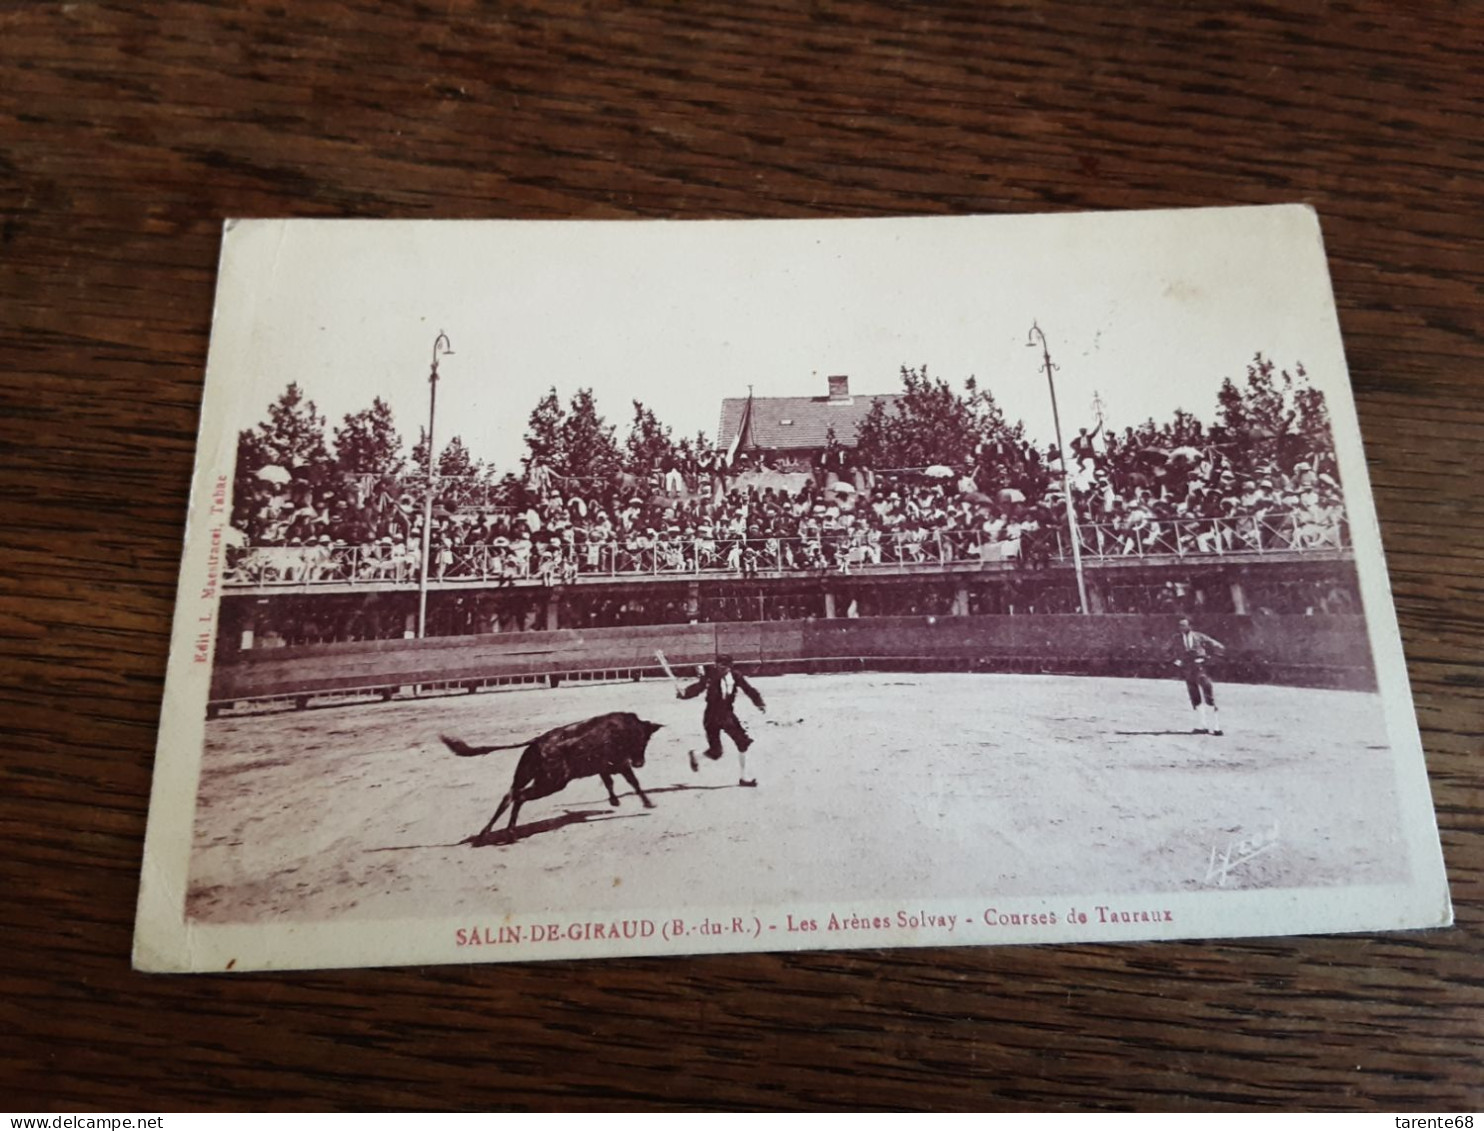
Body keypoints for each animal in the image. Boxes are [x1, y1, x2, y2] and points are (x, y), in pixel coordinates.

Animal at [436, 712, 664, 837]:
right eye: (643, 741)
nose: (640, 762)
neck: (624, 730)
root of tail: (537, 741)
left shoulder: (604, 766)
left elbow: (609, 782)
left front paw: (615, 801)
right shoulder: (620, 763)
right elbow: (633, 782)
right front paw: (648, 804)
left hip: (526, 775)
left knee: (509, 796)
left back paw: (485, 834)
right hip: (552, 782)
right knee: (519, 796)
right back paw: (510, 833)